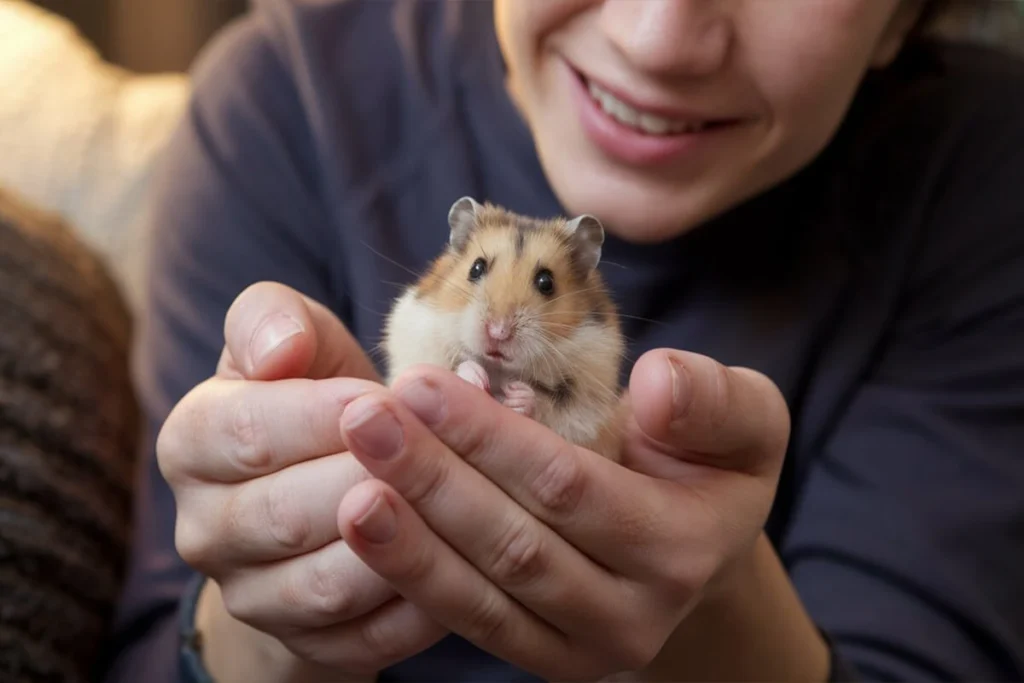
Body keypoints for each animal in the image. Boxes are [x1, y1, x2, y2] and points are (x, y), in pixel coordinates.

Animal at [382, 197, 626, 464]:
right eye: (476, 268)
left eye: (546, 282)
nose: (498, 332)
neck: (498, 368)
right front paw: (476, 377)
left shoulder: (588, 401)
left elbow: (550, 406)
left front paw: (517, 395)